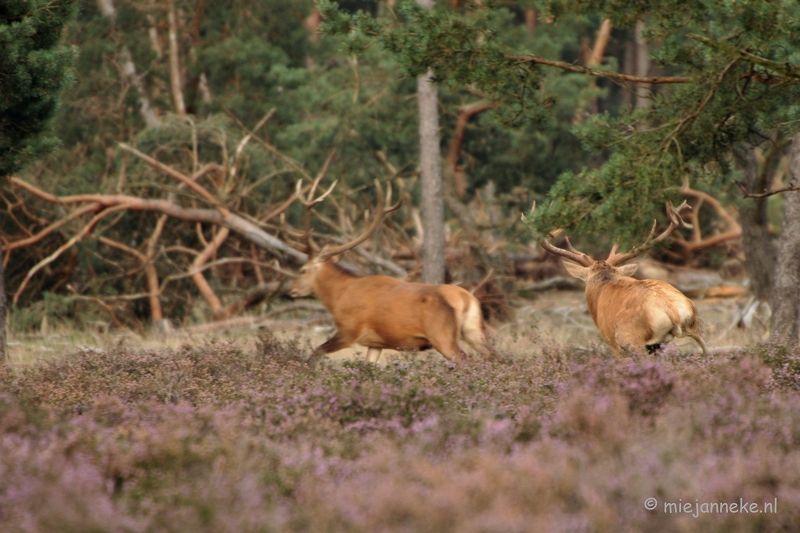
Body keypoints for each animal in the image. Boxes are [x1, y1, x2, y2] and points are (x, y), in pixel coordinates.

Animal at [288, 181, 494, 364]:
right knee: (494, 358)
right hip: (474, 331)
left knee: (466, 362)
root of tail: (466, 299)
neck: (338, 297)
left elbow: (315, 354)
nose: (291, 290)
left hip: (442, 335)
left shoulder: (349, 330)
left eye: (302, 270)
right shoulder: (376, 344)